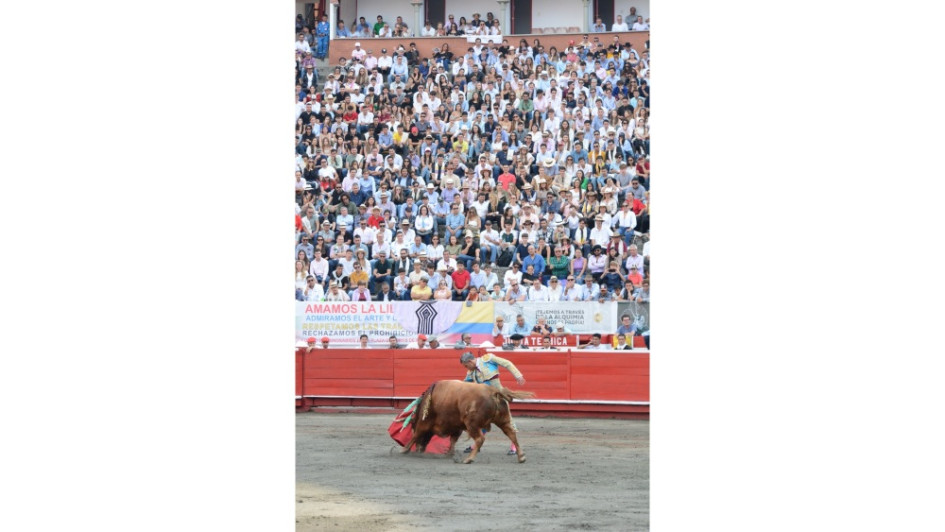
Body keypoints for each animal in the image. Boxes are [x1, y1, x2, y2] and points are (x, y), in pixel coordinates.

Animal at [398, 380, 536, 464]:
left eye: (412, 425)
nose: (419, 450)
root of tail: (493, 391)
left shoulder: (425, 423)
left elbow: (416, 435)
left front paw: (404, 450)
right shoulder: (456, 426)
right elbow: (453, 440)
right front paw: (449, 454)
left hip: (472, 424)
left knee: (480, 439)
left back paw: (468, 459)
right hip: (502, 420)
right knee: (511, 433)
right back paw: (521, 456)